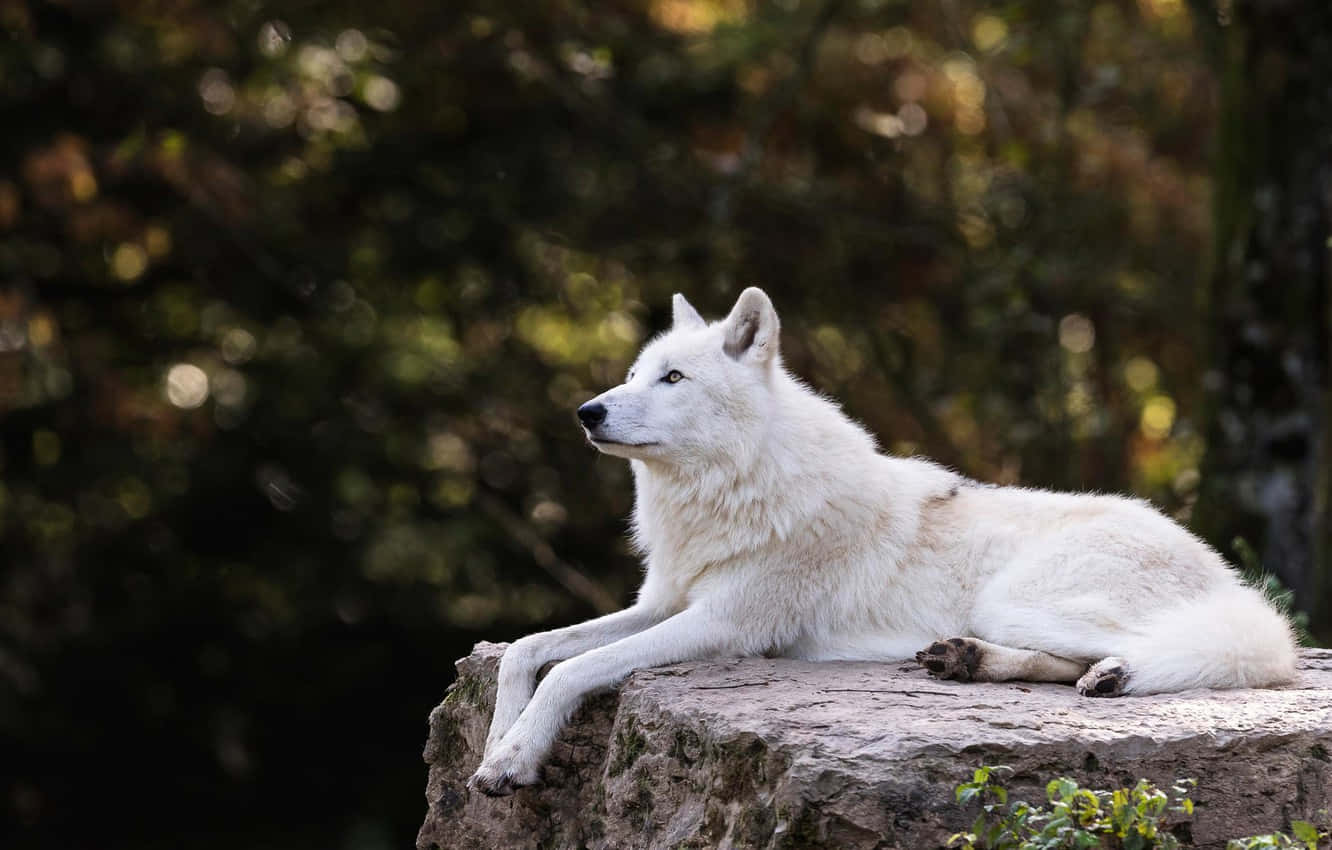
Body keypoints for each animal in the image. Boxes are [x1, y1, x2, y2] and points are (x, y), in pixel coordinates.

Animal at [466, 287, 1289, 799]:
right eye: (634, 373)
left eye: (673, 378)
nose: (587, 411)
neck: (733, 491)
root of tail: (1224, 574)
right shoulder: (663, 603)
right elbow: (527, 650)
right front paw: (497, 742)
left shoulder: (724, 624)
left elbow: (574, 671)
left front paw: (515, 759)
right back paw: (971, 661)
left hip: (1021, 598)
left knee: (1215, 654)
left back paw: (1113, 673)